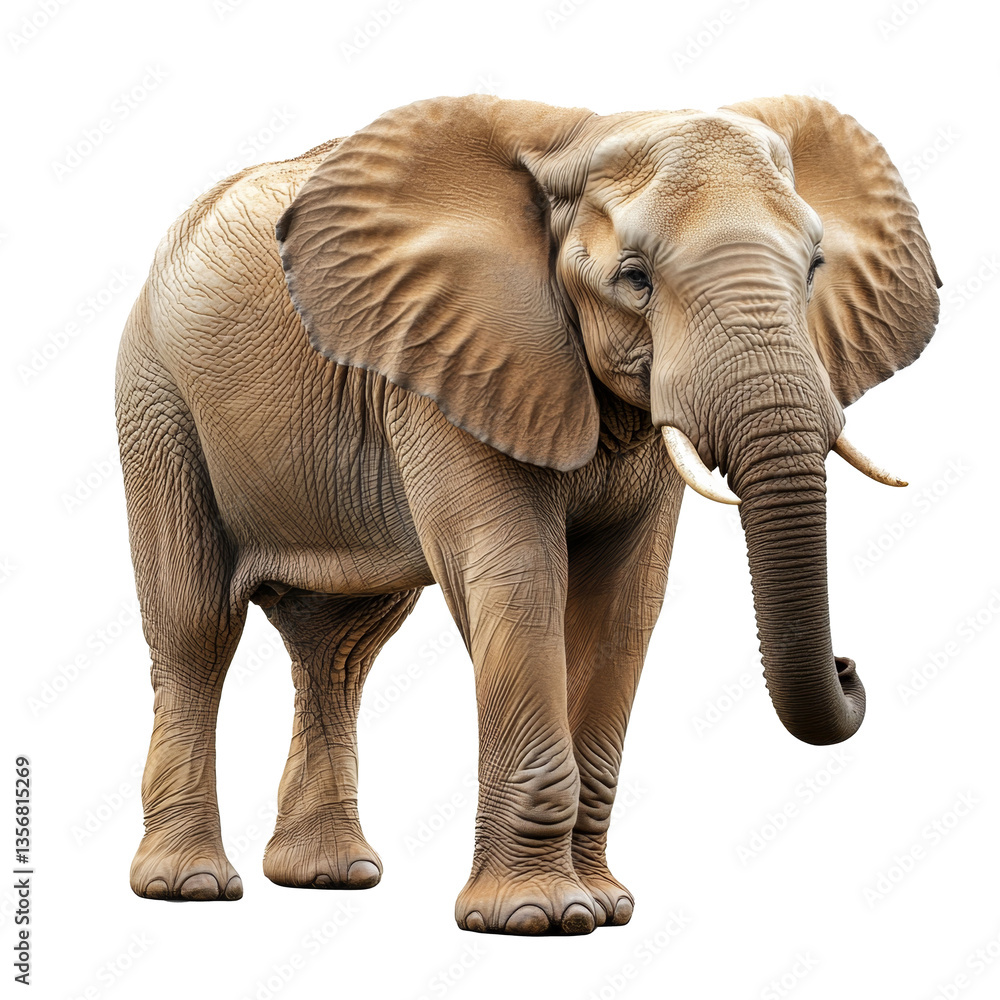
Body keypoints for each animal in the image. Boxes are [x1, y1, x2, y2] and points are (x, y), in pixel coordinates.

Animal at [115, 93, 940, 934]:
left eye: (814, 269)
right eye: (634, 279)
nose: (849, 667)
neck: (581, 141)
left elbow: (626, 599)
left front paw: (607, 907)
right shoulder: (450, 356)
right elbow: (519, 578)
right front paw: (539, 917)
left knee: (341, 646)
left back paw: (329, 878)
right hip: (157, 398)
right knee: (196, 627)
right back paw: (188, 886)